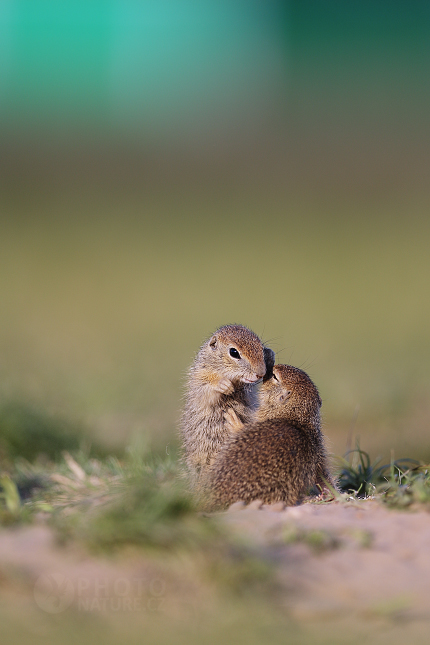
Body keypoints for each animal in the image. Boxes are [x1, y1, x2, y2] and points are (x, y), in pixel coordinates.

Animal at [179, 324, 274, 486]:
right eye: (234, 352)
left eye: (261, 347)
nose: (261, 373)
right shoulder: (199, 378)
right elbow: (206, 389)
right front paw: (223, 385)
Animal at [204, 362, 336, 508]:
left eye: (274, 376)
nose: (273, 365)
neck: (295, 417)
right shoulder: (318, 449)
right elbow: (321, 474)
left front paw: (233, 420)